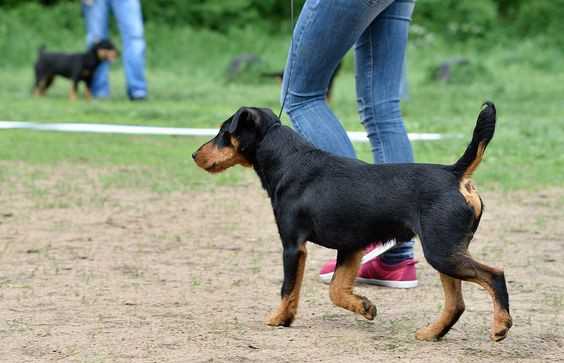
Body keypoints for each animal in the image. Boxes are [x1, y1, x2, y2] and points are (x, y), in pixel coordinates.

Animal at [193, 103, 512, 344]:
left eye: (223, 133)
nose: (195, 154)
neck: (287, 161)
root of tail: (455, 173)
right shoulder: (351, 247)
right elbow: (336, 290)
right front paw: (364, 306)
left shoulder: (293, 246)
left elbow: (288, 287)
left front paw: (279, 318)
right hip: (444, 251)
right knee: (456, 303)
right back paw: (432, 332)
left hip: (442, 251)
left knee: (494, 275)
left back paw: (500, 325)